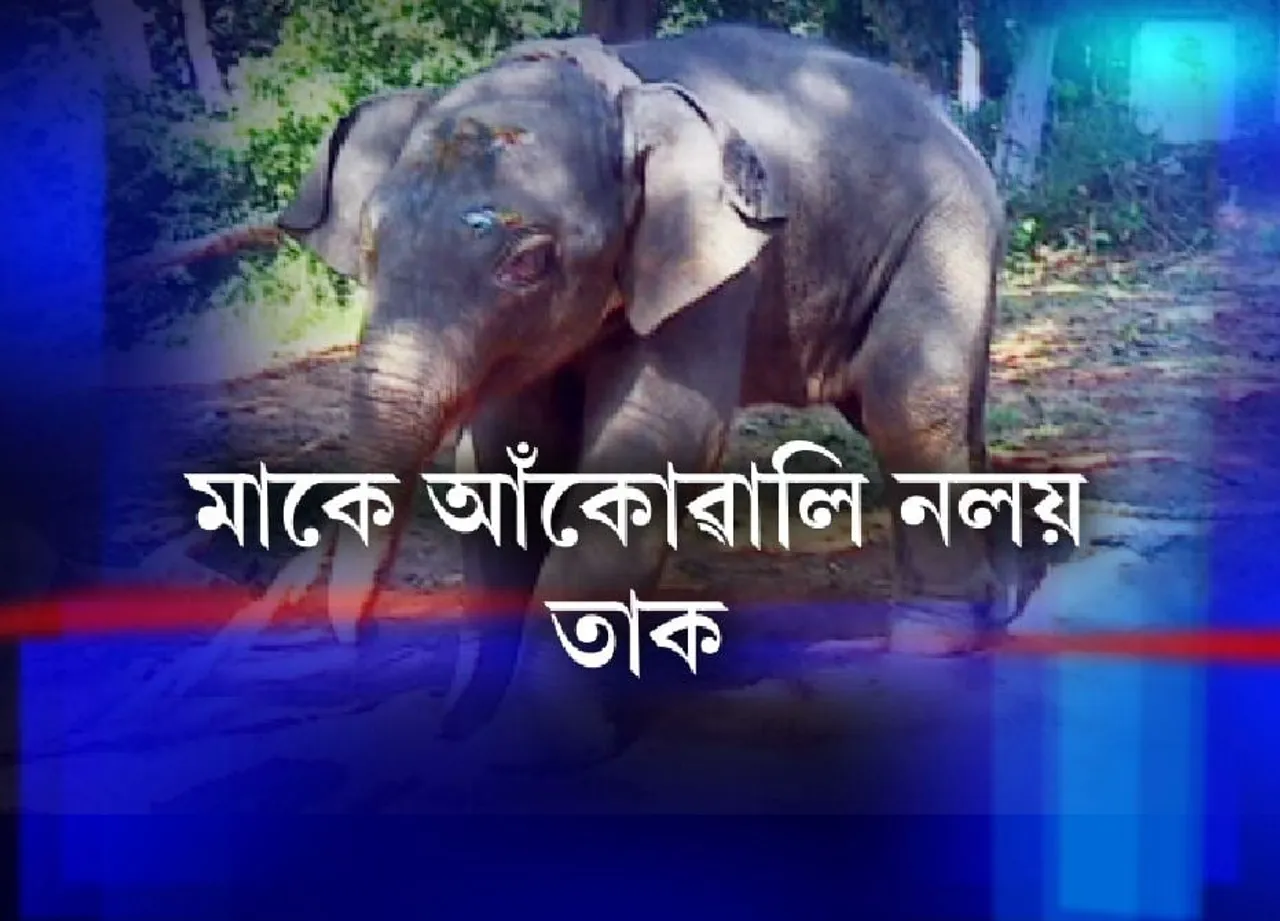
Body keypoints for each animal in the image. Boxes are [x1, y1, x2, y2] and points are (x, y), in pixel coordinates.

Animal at [164, 24, 1017, 768]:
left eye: (528, 261)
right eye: (370, 248)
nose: (355, 645)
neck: (613, 92)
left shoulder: (717, 261)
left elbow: (657, 435)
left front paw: (537, 745)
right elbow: (506, 456)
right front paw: (464, 720)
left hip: (943, 231)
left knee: (909, 406)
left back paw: (933, 646)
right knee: (929, 413)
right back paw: (997, 608)